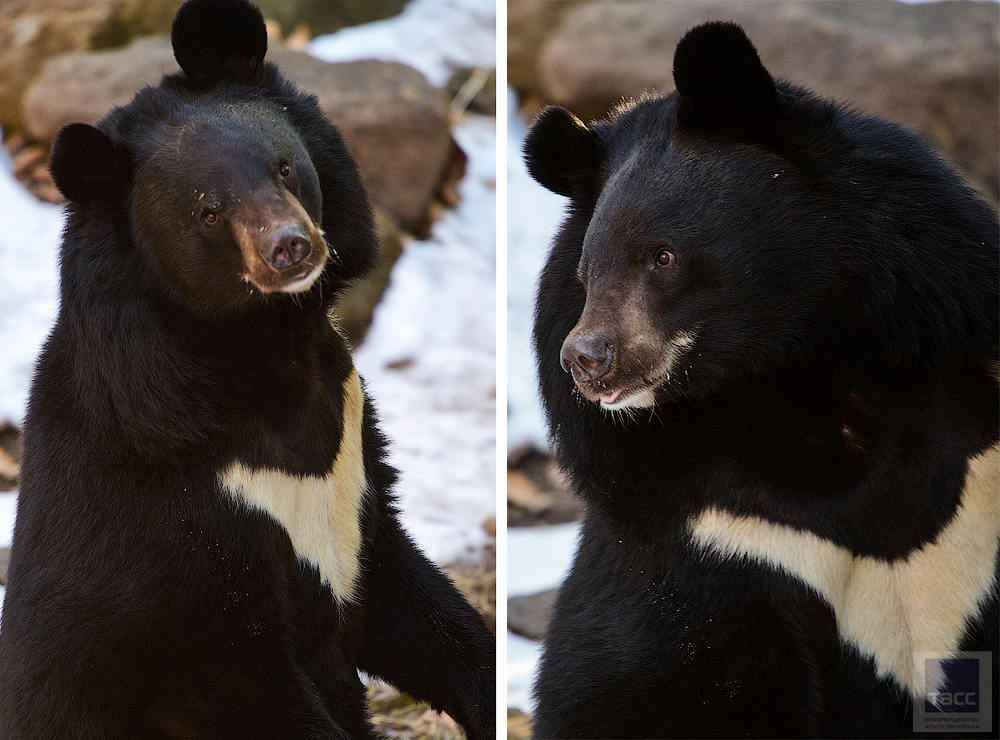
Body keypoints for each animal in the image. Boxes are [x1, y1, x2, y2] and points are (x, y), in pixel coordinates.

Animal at [0, 1, 496, 740]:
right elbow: (227, 672)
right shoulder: (171, 515)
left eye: (283, 166)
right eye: (207, 210)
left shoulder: (352, 452)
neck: (263, 344)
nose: (291, 247)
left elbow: (409, 595)